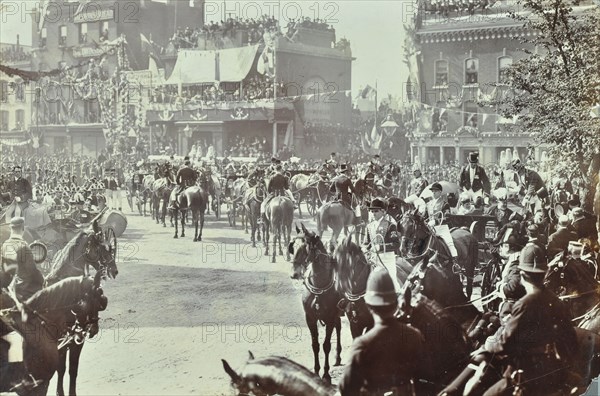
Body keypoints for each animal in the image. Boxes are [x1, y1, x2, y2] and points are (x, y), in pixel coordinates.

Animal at [288, 224, 340, 382]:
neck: (319, 286)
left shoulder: (330, 317)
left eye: (305, 247)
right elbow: (315, 345)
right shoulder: (310, 318)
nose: (294, 274)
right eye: (292, 246)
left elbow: (326, 345)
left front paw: (326, 375)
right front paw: (316, 372)